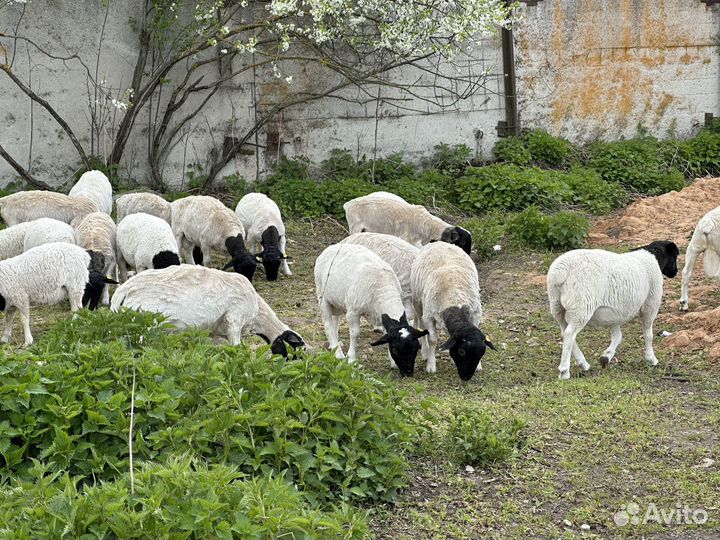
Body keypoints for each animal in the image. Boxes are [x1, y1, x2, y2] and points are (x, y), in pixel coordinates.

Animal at [110, 265, 304, 356]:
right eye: (296, 350)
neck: (257, 316)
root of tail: (122, 291)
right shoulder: (235, 319)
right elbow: (237, 348)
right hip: (141, 325)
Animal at [314, 243, 428, 375]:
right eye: (395, 349)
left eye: (416, 348)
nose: (408, 372)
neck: (384, 290)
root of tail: (334, 246)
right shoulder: (353, 312)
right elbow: (355, 333)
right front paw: (351, 359)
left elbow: (386, 334)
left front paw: (392, 362)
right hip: (322, 297)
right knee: (328, 325)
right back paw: (338, 353)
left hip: (336, 301)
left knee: (334, 321)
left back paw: (335, 345)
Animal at [410, 242, 494, 381]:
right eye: (461, 352)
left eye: (482, 352)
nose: (466, 377)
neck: (455, 300)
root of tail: (438, 242)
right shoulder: (429, 316)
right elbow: (433, 339)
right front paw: (431, 366)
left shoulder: (475, 314)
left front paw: (478, 366)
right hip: (418, 302)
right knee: (422, 325)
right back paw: (425, 352)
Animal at [547, 240, 679, 380]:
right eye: (675, 256)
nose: (675, 271)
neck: (654, 258)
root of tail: (560, 272)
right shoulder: (651, 304)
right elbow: (648, 335)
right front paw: (651, 359)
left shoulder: (615, 313)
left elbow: (617, 336)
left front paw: (606, 357)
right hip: (581, 307)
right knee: (569, 334)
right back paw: (564, 371)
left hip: (557, 307)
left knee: (565, 332)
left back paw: (584, 364)